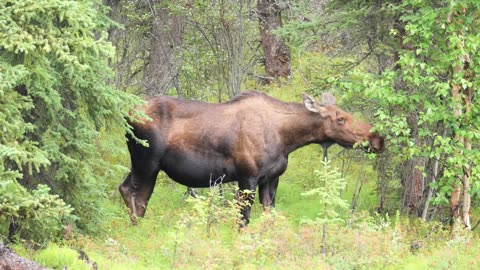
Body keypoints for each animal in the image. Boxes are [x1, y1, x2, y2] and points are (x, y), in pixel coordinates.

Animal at [121, 91, 386, 226]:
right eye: (340, 118)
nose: (378, 139)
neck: (287, 139)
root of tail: (126, 114)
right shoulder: (247, 176)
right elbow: (244, 219)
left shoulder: (271, 179)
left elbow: (268, 217)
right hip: (146, 161)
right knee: (134, 193)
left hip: (148, 165)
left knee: (131, 192)